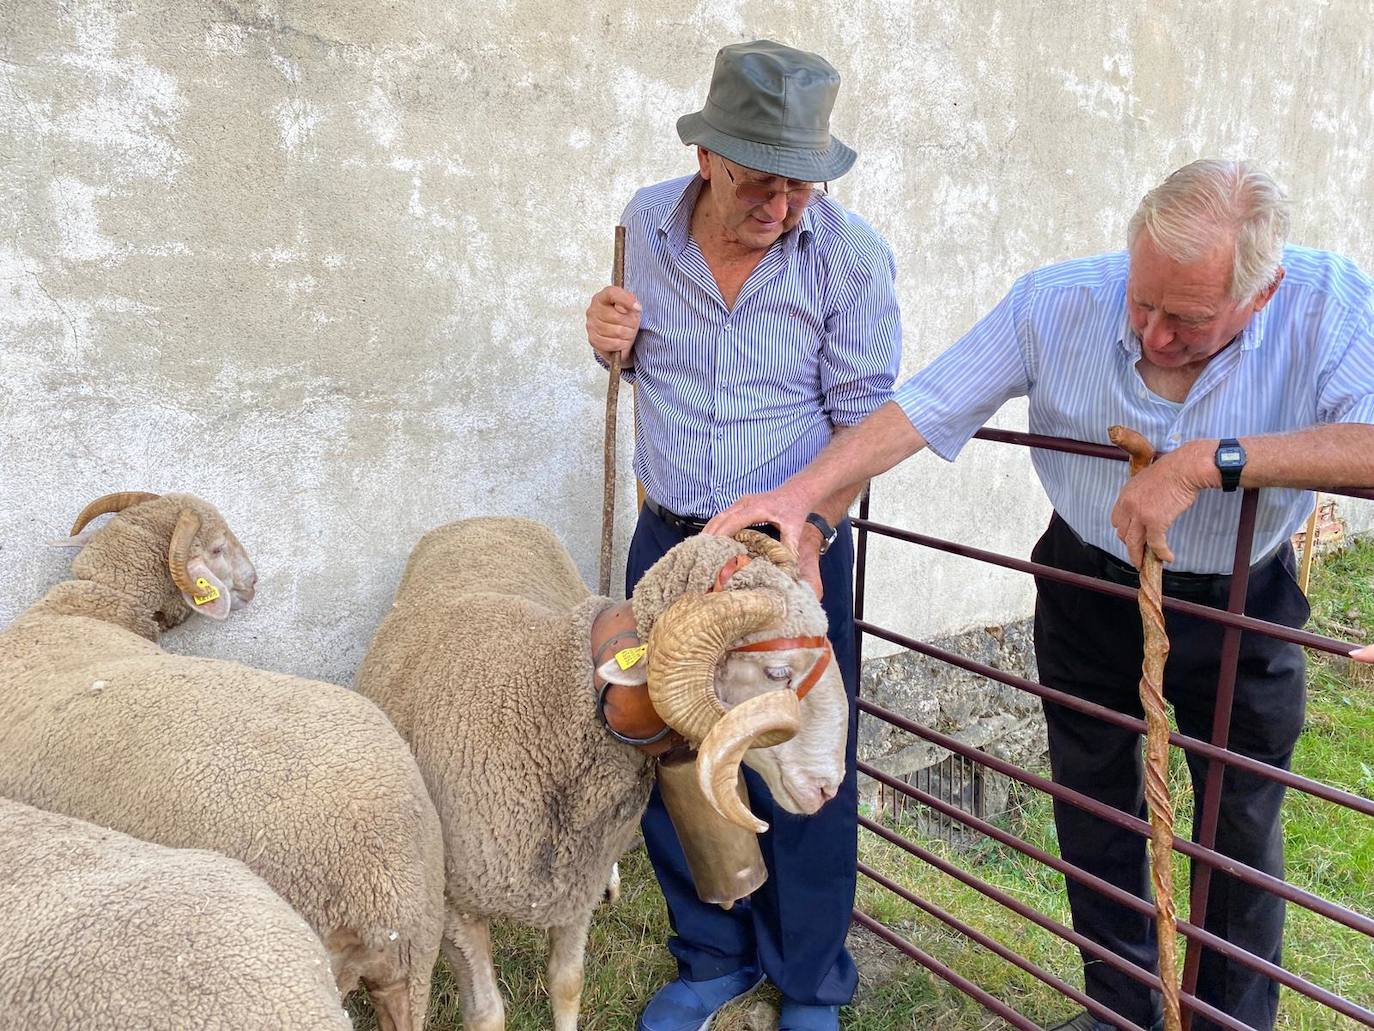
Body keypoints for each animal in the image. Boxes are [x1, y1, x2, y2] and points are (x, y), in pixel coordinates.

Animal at [357, 516, 846, 1031]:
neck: (544, 699)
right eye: (778, 672)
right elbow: (487, 1013)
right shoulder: (454, 906)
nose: (828, 787)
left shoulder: (577, 883)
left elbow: (567, 984)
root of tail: (482, 519)